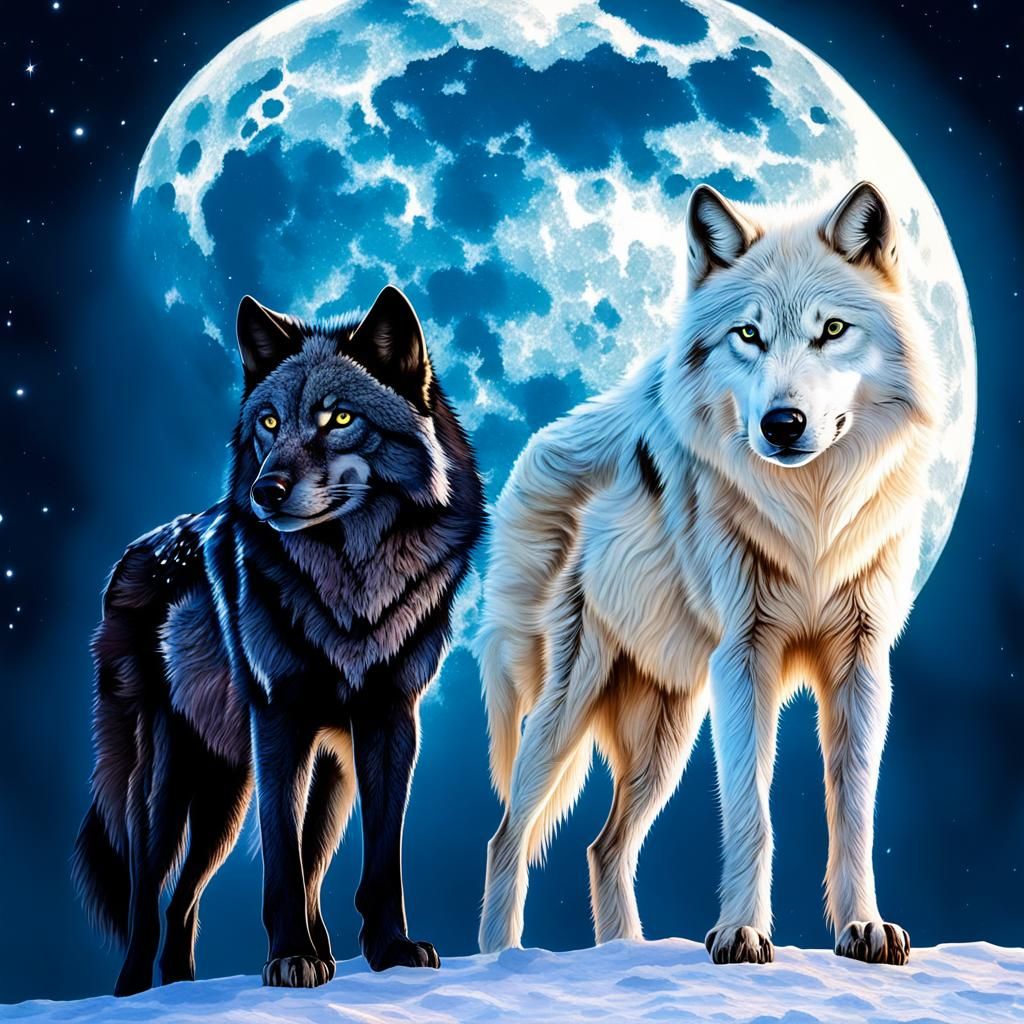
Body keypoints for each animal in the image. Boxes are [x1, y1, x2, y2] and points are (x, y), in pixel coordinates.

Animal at [72, 286, 484, 995]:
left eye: (339, 417)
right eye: (267, 423)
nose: (266, 490)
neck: (352, 582)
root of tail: (127, 558)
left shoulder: (389, 720)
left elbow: (380, 859)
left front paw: (390, 950)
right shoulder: (280, 720)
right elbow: (282, 865)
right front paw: (291, 957)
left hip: (257, 790)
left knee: (193, 898)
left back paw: (198, 980)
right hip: (167, 788)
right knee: (147, 895)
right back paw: (133, 993)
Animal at [477, 182, 940, 966]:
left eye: (832, 330)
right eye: (747, 335)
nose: (782, 423)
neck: (811, 515)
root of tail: (533, 459)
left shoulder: (861, 660)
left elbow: (853, 807)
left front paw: (864, 928)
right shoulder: (744, 659)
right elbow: (753, 808)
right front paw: (743, 933)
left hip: (668, 733)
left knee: (604, 846)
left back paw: (626, 955)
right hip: (571, 708)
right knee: (507, 835)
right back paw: (498, 959)